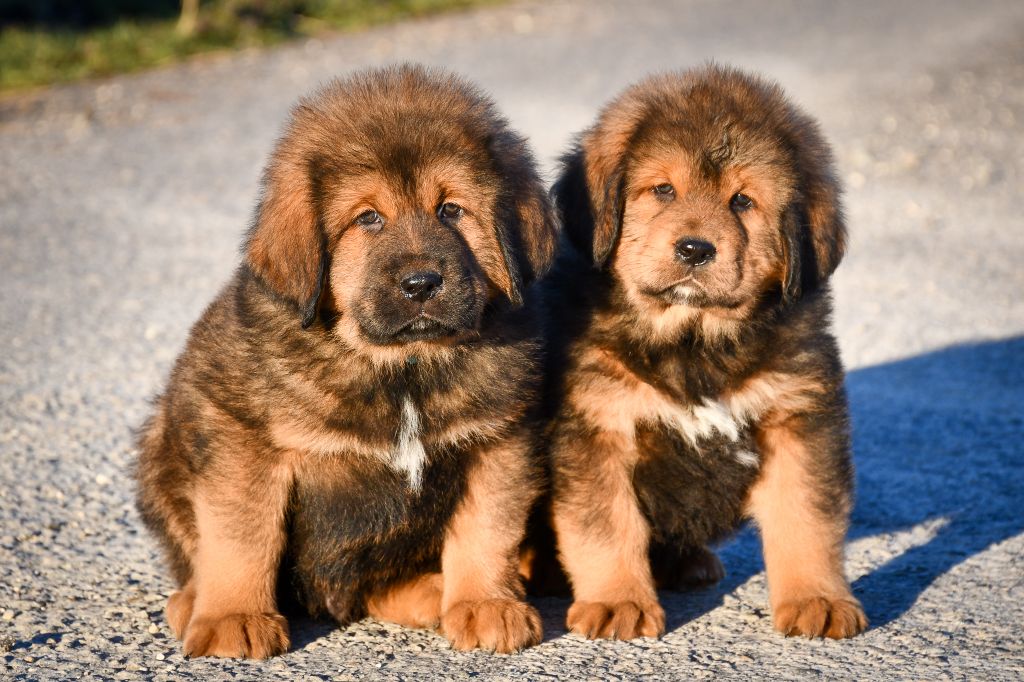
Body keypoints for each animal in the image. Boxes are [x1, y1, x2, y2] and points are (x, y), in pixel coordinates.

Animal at [135, 63, 557, 655]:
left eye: (452, 210)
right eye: (368, 219)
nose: (421, 284)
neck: (401, 369)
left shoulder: (500, 439)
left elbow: (488, 529)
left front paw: (485, 604)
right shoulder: (242, 439)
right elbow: (241, 537)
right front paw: (234, 617)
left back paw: (432, 593)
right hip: (158, 446)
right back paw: (192, 601)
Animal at [540, 63, 868, 638]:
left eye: (743, 200)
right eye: (663, 190)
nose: (694, 249)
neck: (694, 344)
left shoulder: (800, 416)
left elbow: (807, 518)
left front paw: (818, 600)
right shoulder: (596, 427)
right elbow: (606, 526)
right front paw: (617, 603)